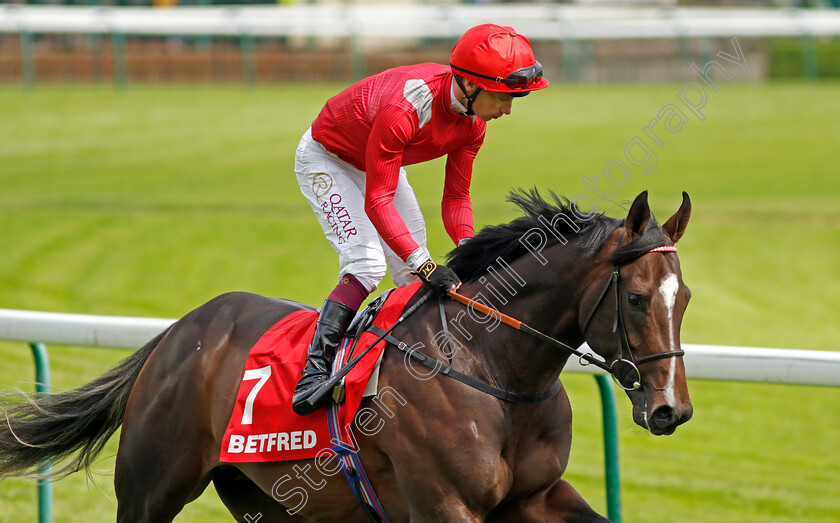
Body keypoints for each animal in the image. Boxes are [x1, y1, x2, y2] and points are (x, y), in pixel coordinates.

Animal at [0, 190, 692, 520]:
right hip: (150, 488)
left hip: (272, 500)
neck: (495, 369)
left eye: (683, 297)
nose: (672, 411)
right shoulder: (445, 504)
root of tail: (176, 334)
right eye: (635, 299)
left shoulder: (537, 498)